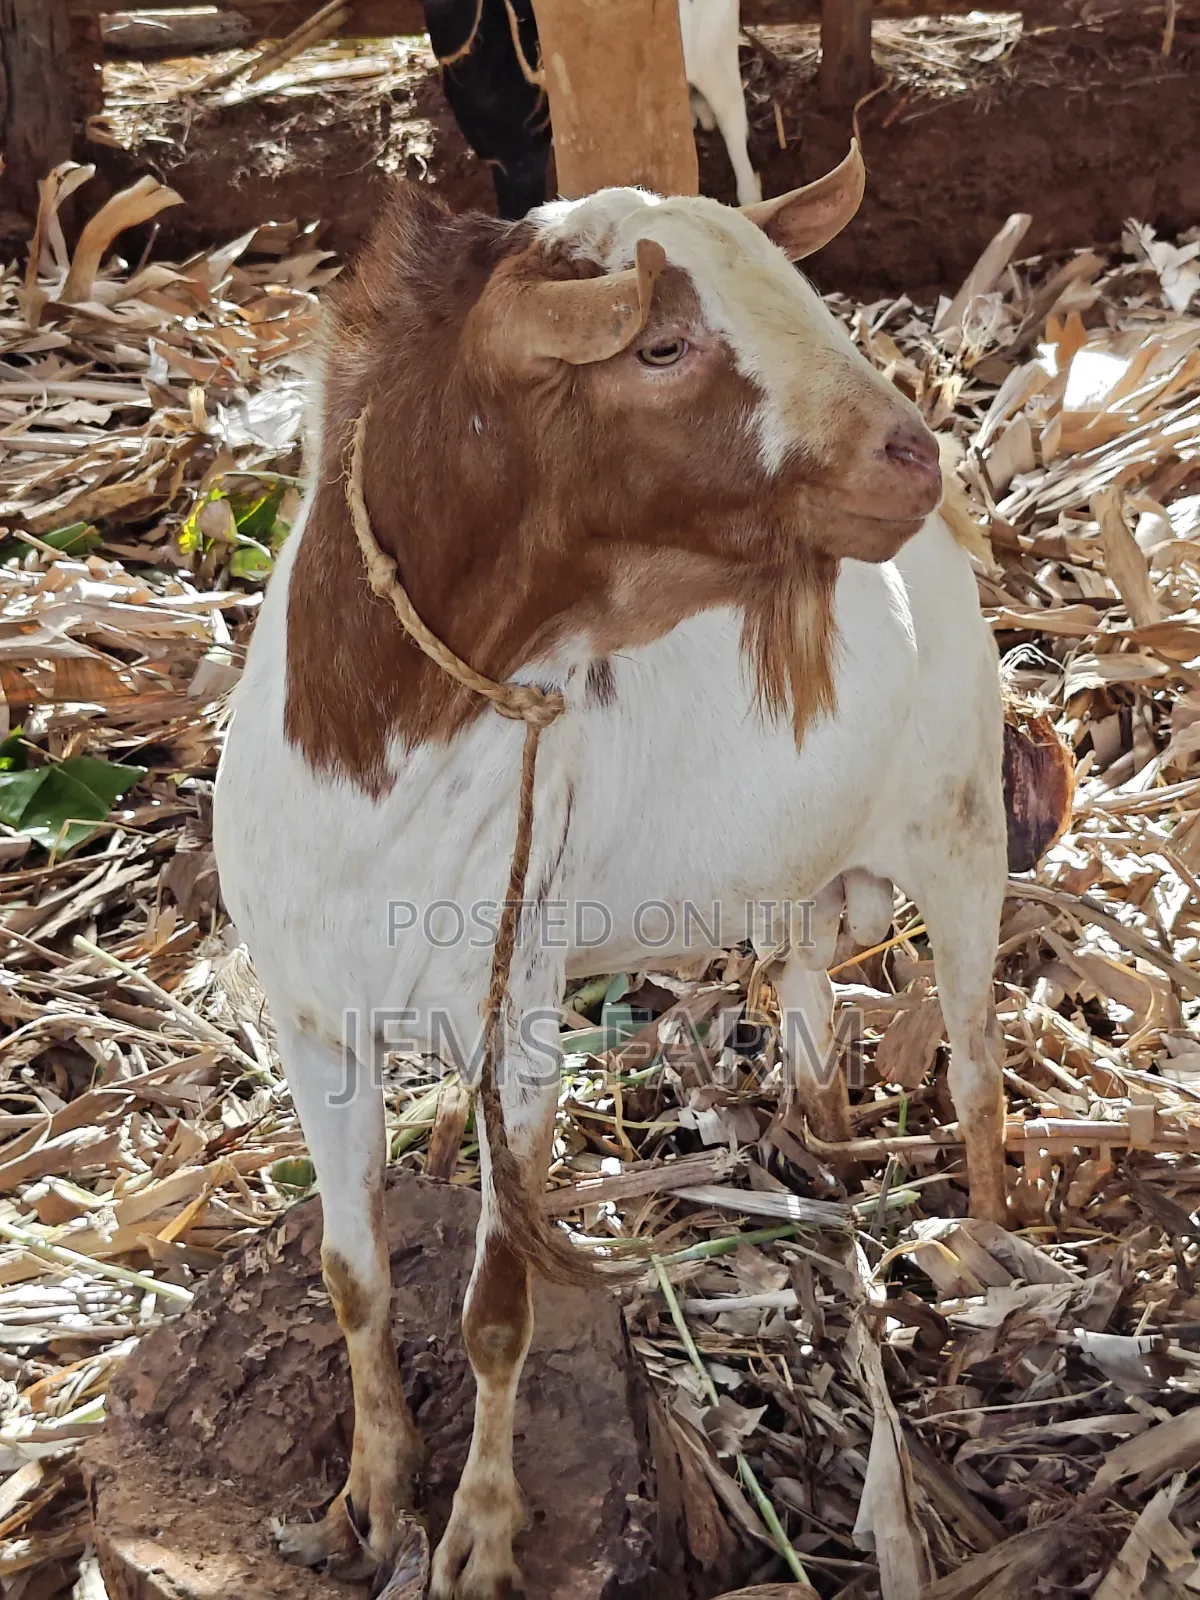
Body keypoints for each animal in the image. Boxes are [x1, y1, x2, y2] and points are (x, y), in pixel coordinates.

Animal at [213, 146, 1003, 1599]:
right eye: (663, 345)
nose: (912, 454)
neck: (376, 747)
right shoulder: (309, 1024)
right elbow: (350, 1274)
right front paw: (368, 1498)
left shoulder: (514, 1028)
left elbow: (496, 1309)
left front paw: (477, 1535)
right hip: (803, 863)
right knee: (805, 977)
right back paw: (819, 1141)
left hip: (965, 812)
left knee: (975, 1060)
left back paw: (989, 1246)